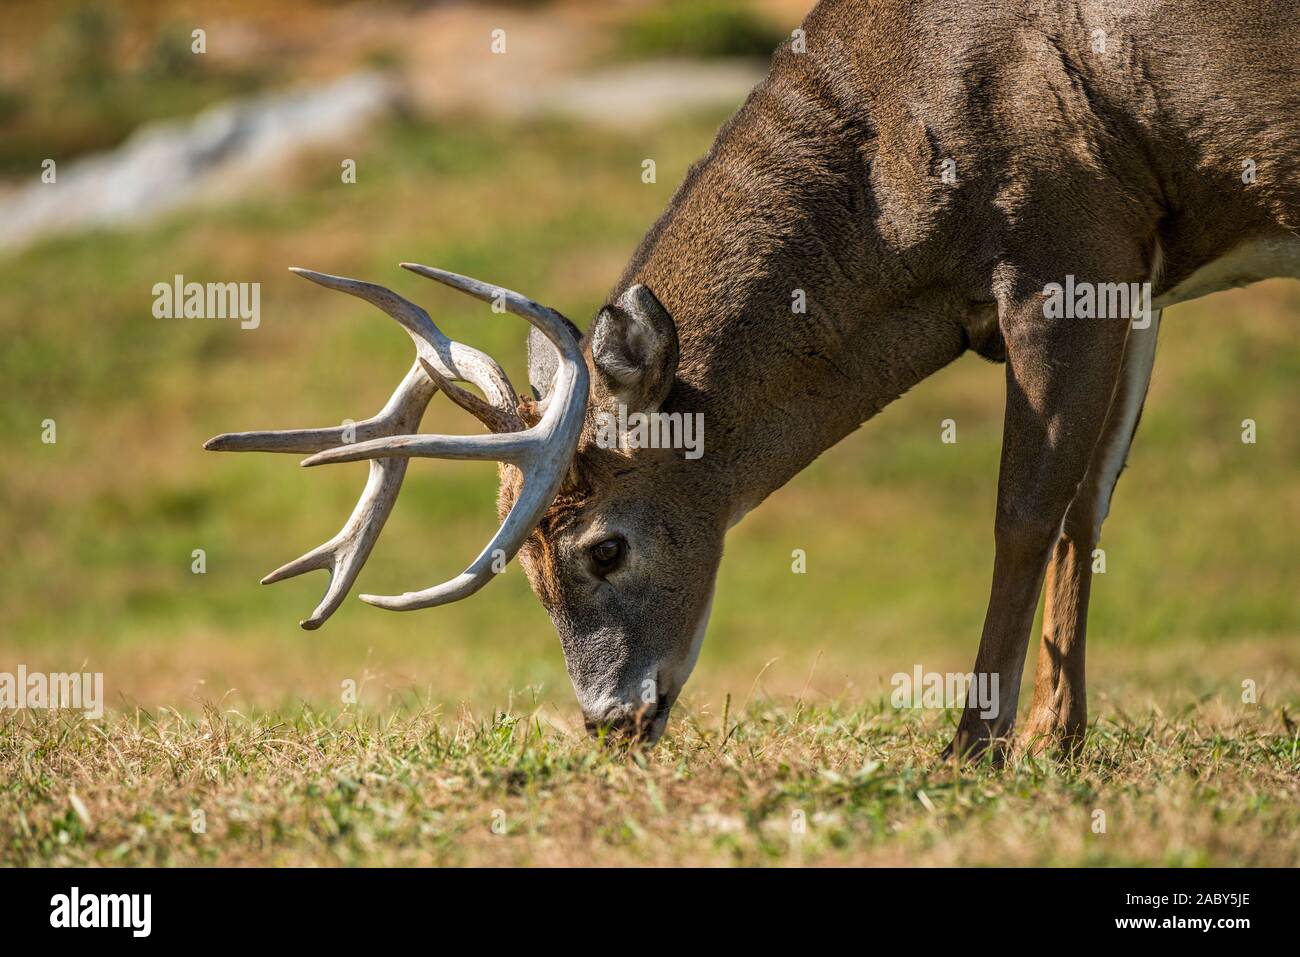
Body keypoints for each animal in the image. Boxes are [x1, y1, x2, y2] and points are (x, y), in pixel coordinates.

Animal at [208, 1, 1300, 764]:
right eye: (528, 572)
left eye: (606, 548)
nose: (610, 722)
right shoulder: (1139, 270)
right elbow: (1088, 507)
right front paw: (1054, 741)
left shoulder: (1066, 244)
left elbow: (1025, 511)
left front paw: (971, 748)